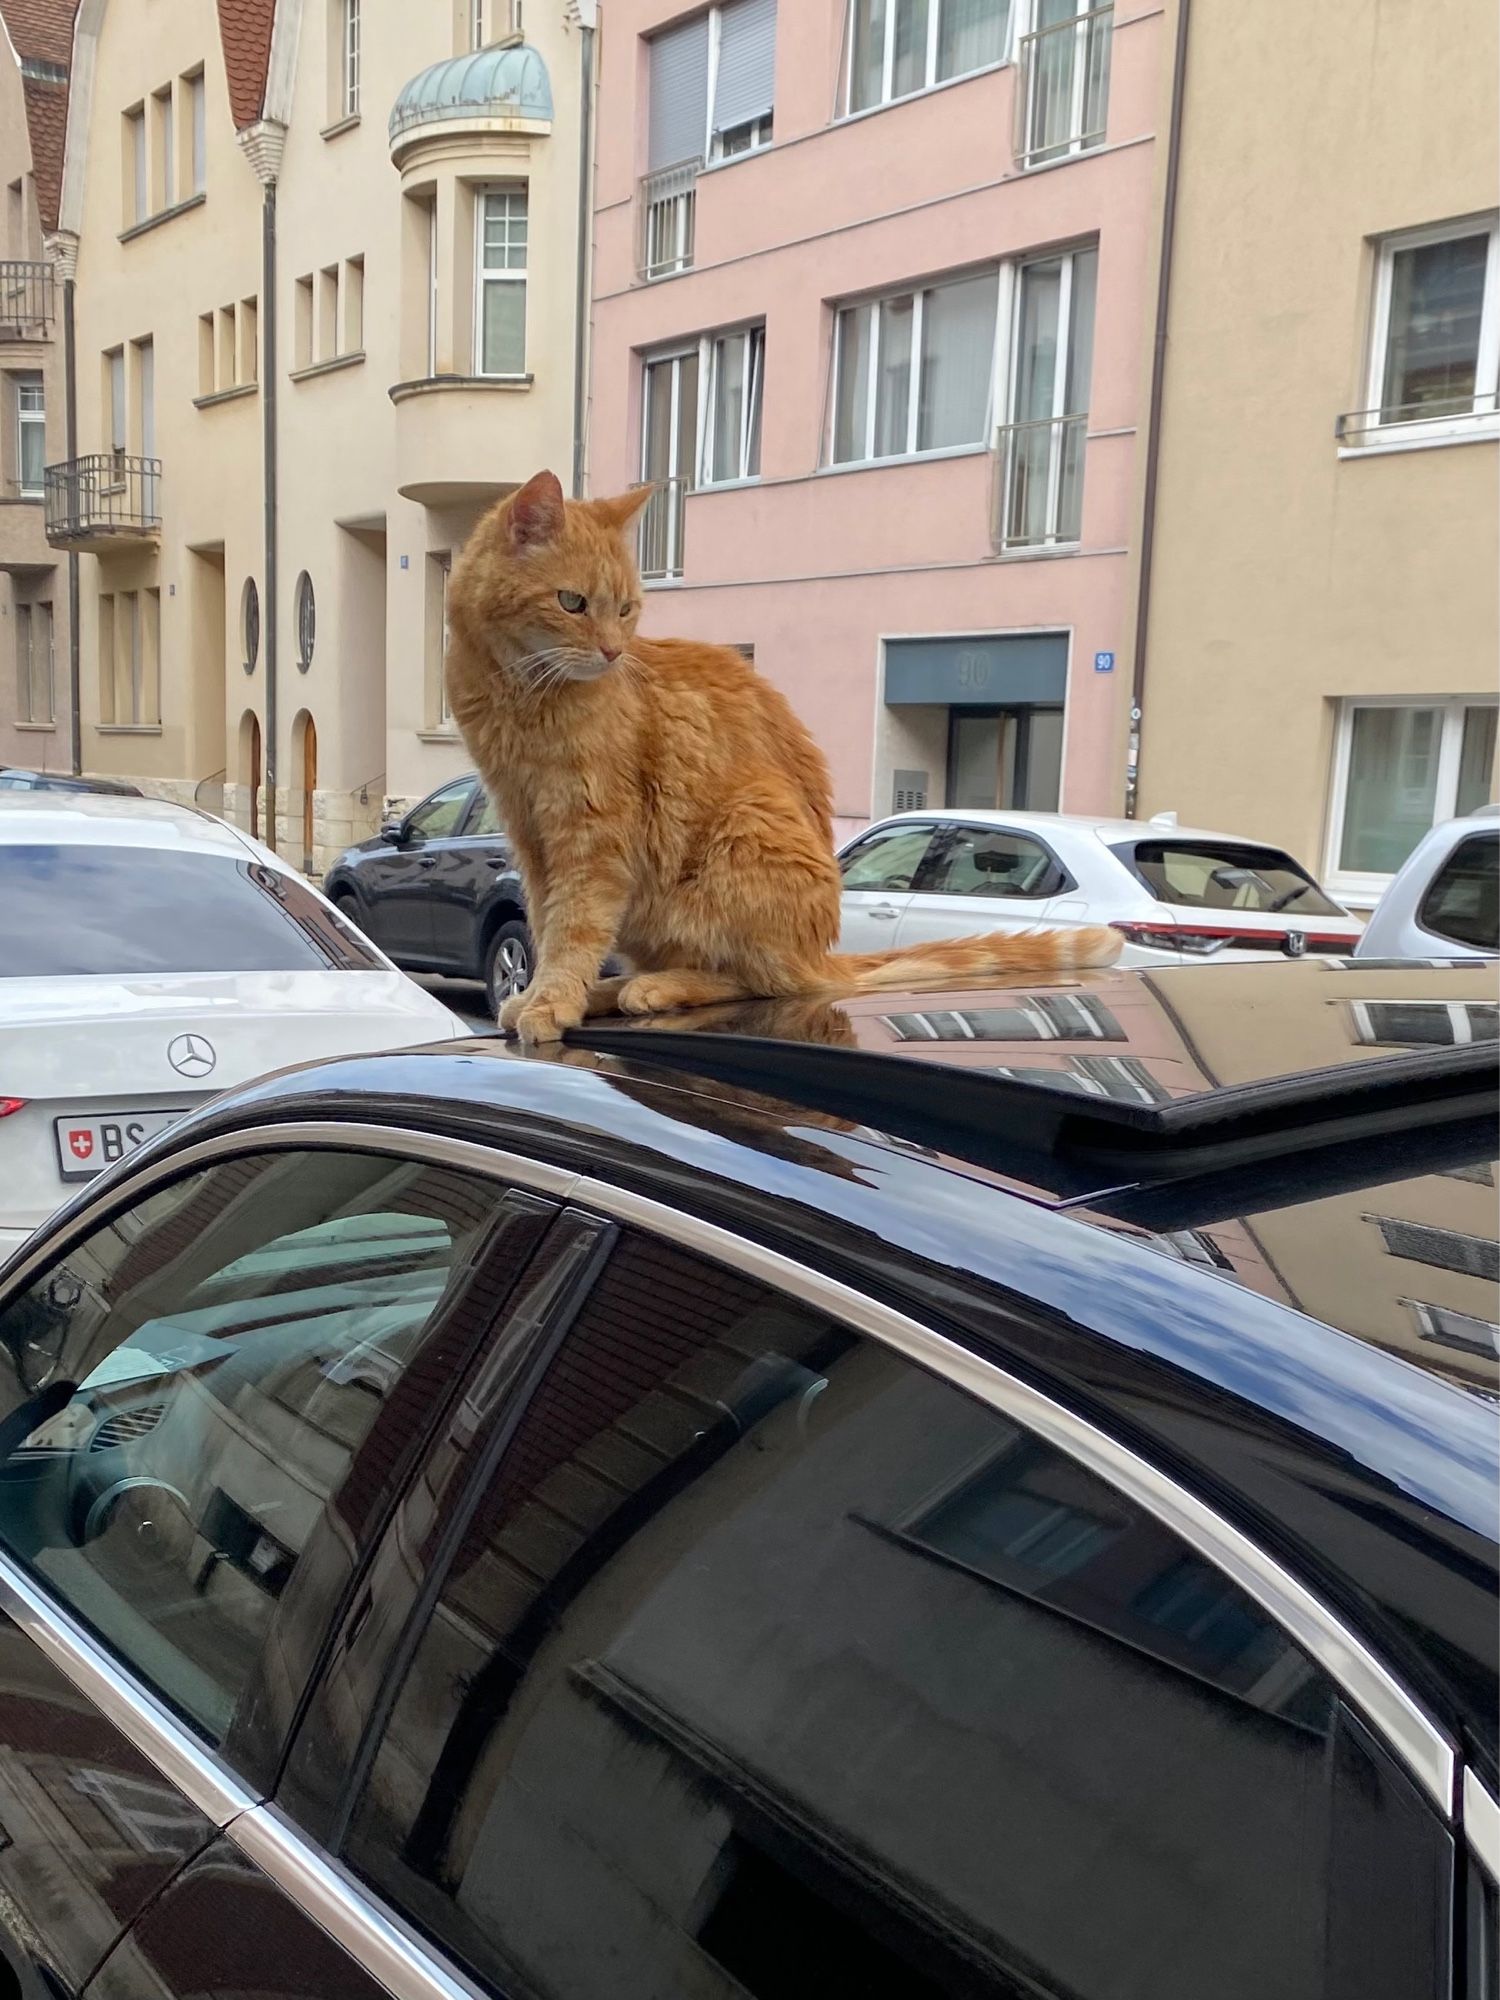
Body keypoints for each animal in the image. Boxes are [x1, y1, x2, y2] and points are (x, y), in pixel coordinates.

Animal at [440, 468, 1120, 1048]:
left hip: (747, 825)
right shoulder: (529, 831)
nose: (612, 652)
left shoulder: (592, 835)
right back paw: (614, 989)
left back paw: (650, 987)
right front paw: (542, 996)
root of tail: (820, 953)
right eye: (573, 603)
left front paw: (552, 1001)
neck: (518, 696)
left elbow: (573, 928)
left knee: (760, 979)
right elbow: (547, 921)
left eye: (627, 609)